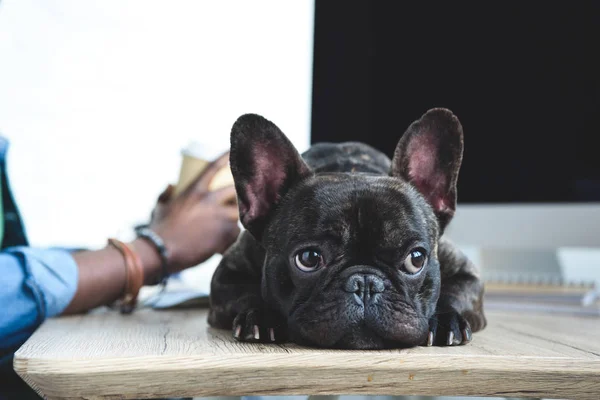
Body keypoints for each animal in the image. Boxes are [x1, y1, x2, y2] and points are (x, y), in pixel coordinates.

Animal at [209, 108, 486, 348]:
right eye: (308, 258)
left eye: (415, 259)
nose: (365, 284)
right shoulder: (227, 273)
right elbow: (245, 292)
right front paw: (262, 317)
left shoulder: (467, 273)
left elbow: (455, 293)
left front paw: (445, 320)